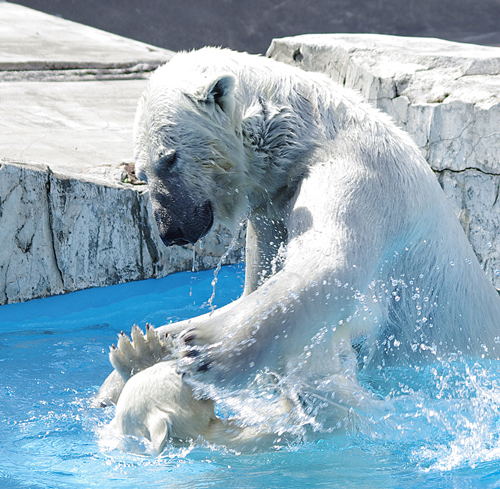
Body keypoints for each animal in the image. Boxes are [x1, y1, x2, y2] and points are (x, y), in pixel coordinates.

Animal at [97, 48, 500, 442]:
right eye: (142, 172)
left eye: (169, 157)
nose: (171, 232)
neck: (308, 134)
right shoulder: (271, 206)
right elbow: (256, 287)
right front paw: (137, 356)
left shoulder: (361, 175)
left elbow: (329, 263)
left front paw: (208, 351)